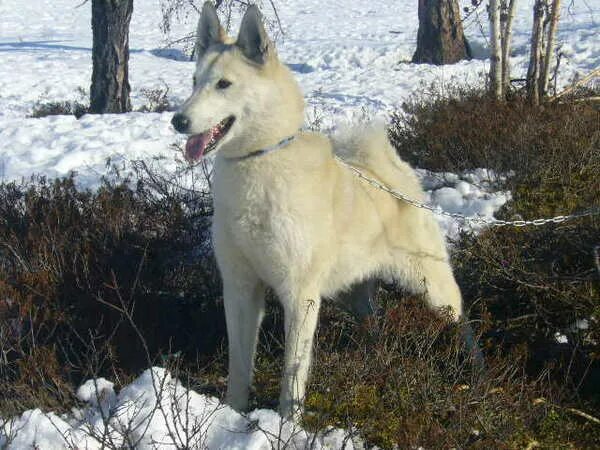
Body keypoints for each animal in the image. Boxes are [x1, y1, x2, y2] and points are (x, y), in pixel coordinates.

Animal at [173, 2, 464, 418]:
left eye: (224, 84)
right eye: (195, 81)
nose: (178, 120)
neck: (257, 161)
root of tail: (392, 175)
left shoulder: (300, 295)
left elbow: (292, 373)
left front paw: (286, 422)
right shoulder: (240, 288)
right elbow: (239, 365)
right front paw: (232, 413)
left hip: (433, 291)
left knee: (460, 320)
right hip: (354, 293)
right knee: (372, 322)